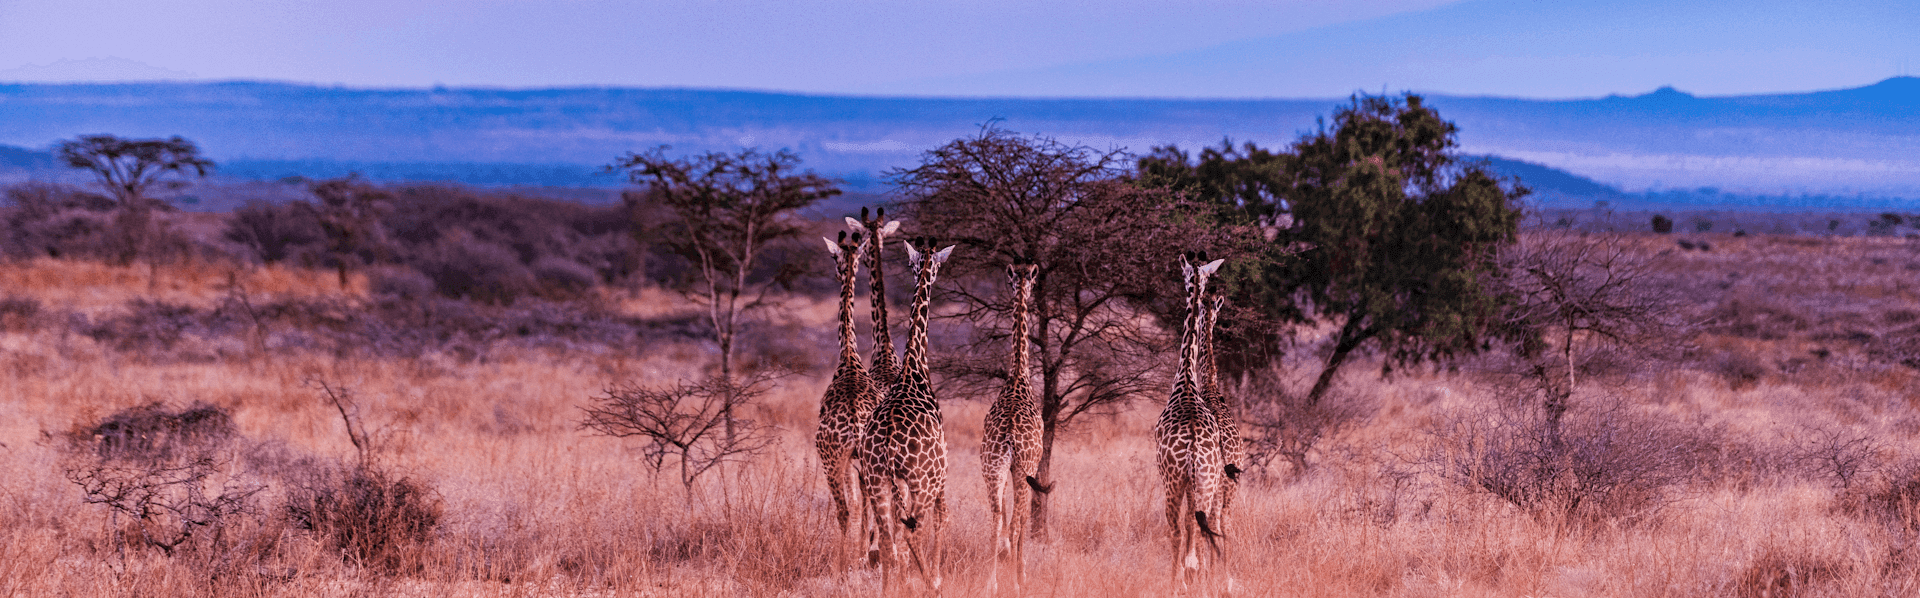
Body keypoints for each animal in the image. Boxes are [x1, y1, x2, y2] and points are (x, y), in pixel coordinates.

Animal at [859, 237, 955, 596]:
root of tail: (886, 445)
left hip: (876, 480)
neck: (914, 371)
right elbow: (943, 518)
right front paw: (937, 578)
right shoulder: (941, 473)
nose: (932, 271)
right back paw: (930, 584)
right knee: (913, 530)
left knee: (887, 542)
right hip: (919, 480)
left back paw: (890, 589)